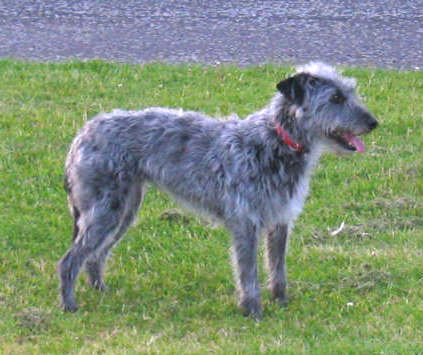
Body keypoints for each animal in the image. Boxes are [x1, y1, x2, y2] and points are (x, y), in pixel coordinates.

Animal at [58, 62, 380, 320]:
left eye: (350, 91)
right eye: (335, 98)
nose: (373, 122)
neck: (275, 141)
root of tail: (83, 133)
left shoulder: (279, 221)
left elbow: (278, 269)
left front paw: (281, 302)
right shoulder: (246, 224)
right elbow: (248, 273)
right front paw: (253, 311)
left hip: (123, 210)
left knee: (95, 256)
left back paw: (100, 289)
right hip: (106, 211)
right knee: (70, 260)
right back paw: (69, 305)